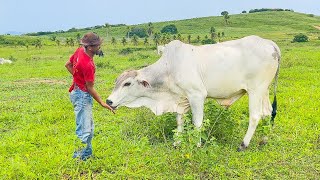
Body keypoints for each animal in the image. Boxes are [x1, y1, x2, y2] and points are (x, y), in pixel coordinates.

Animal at [107, 35, 280, 150]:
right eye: (116, 82)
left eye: (127, 83)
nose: (109, 101)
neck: (169, 69)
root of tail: (270, 43)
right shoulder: (181, 99)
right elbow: (179, 121)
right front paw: (177, 143)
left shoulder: (196, 95)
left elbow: (197, 123)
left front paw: (197, 144)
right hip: (264, 90)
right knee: (268, 112)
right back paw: (265, 138)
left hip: (255, 90)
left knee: (255, 116)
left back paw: (243, 144)